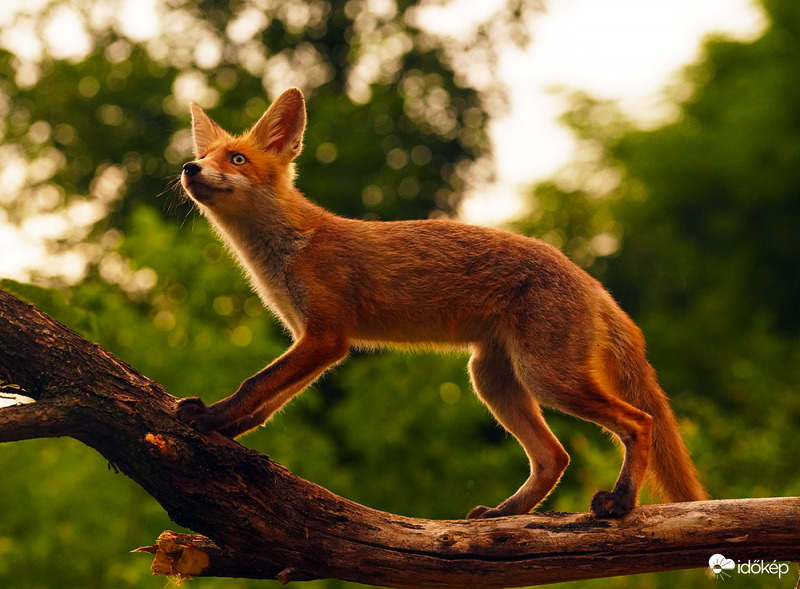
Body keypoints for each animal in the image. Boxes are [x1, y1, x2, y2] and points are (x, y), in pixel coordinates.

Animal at [177, 85, 708, 516]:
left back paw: (621, 502)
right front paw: (225, 429)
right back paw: (504, 514)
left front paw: (211, 417)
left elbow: (253, 384)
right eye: (206, 154)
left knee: (639, 422)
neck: (288, 249)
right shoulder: (316, 342)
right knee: (555, 457)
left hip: (548, 378)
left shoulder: (326, 336)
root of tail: (593, 282)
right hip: (493, 380)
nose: (189, 167)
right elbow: (264, 404)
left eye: (237, 159)